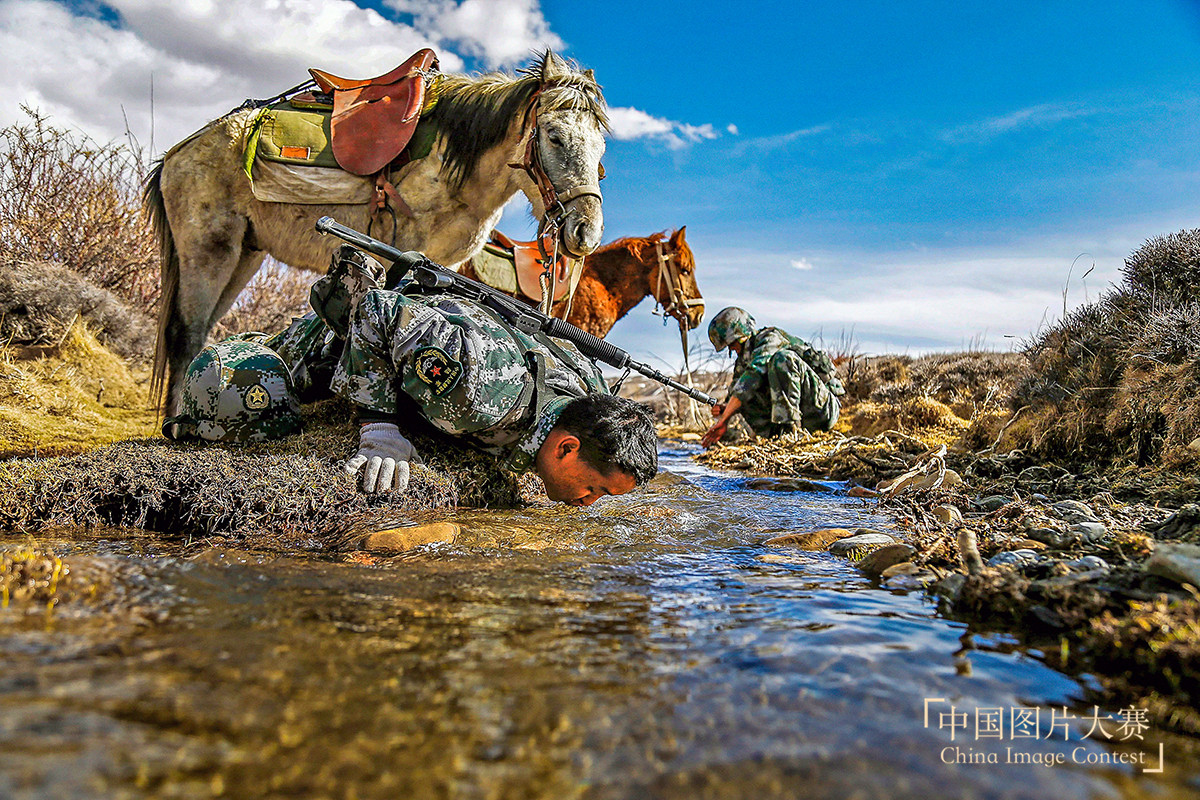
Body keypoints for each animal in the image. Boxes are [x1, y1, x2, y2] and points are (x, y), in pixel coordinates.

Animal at [144, 51, 604, 412]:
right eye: (555, 137)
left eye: (600, 151)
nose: (586, 233)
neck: (454, 160)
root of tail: (173, 156)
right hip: (209, 248)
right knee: (187, 333)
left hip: (245, 253)